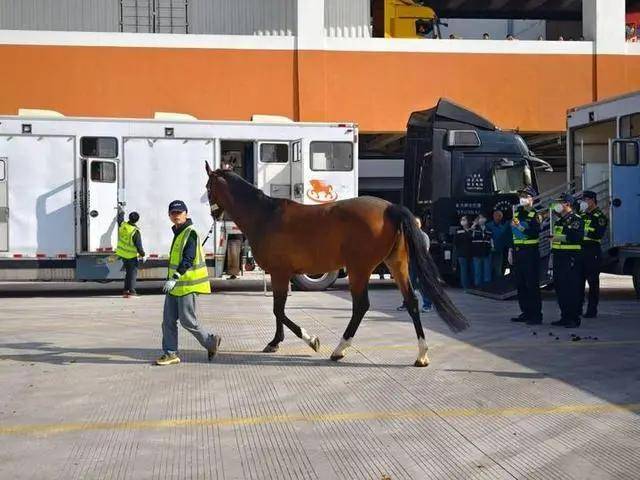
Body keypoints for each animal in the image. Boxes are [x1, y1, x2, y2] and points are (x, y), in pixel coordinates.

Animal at [206, 163, 470, 366]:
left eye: (208, 188)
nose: (213, 214)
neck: (265, 215)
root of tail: (391, 208)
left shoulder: (280, 273)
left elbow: (278, 310)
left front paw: (310, 340)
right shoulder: (278, 274)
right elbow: (278, 309)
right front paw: (275, 342)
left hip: (358, 269)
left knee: (361, 306)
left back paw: (339, 349)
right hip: (397, 264)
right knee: (412, 301)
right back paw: (421, 355)